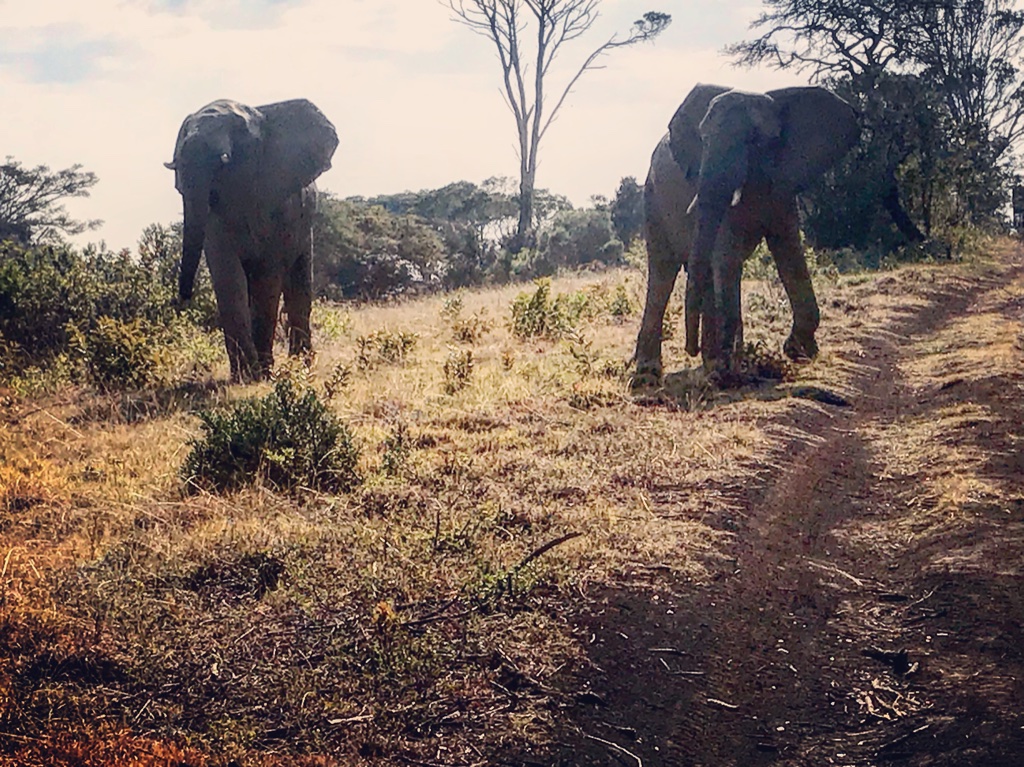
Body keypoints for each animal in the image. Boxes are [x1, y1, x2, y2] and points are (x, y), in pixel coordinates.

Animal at [166, 98, 338, 382]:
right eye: (185, 128)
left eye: (239, 131)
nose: (182, 300)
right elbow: (227, 275)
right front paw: (245, 376)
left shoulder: (279, 202)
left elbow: (267, 278)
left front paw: (262, 375)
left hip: (305, 227)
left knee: (298, 287)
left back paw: (301, 367)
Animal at [633, 84, 859, 384]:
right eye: (703, 139)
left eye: (755, 141)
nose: (689, 349)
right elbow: (727, 257)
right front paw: (728, 373)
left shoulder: (782, 185)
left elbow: (790, 252)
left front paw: (797, 351)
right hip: (652, 201)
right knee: (662, 275)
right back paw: (651, 375)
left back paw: (709, 364)